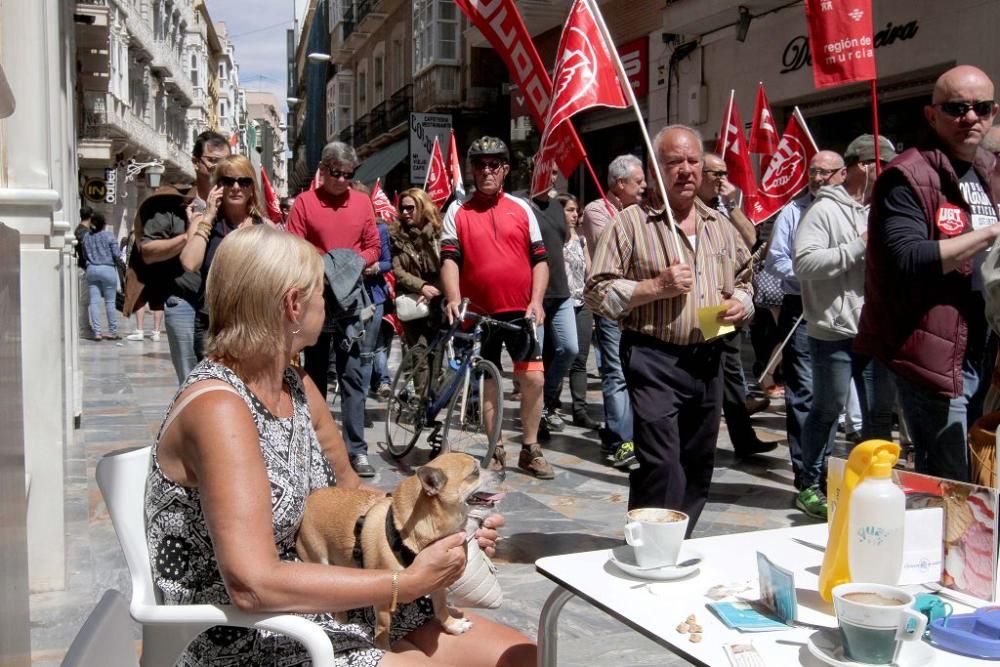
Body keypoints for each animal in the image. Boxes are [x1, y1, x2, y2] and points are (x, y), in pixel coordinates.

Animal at [294, 452, 482, 648]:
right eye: (475, 472)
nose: (489, 470)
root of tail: (309, 501)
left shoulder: (438, 581)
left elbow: (441, 605)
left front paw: (452, 624)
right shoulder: (384, 599)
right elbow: (384, 626)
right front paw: (384, 648)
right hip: (318, 557)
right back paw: (341, 616)